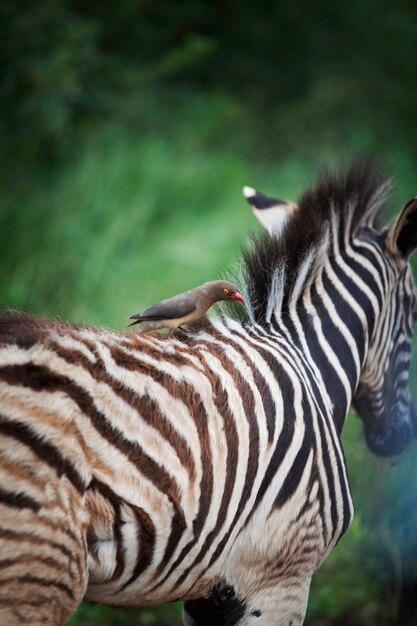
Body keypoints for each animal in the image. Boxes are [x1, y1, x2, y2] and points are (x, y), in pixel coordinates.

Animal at [0, 157, 414, 624]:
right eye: (414, 311)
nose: (397, 438)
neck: (303, 355)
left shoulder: (211, 590)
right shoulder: (283, 575)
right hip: (42, 566)